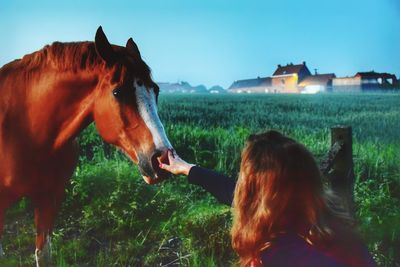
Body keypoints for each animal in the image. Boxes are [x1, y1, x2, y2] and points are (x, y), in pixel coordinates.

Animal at [0, 26, 171, 266]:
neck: (27, 130)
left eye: (155, 90)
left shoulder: (48, 199)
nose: (161, 158)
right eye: (118, 92)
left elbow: (43, 254)